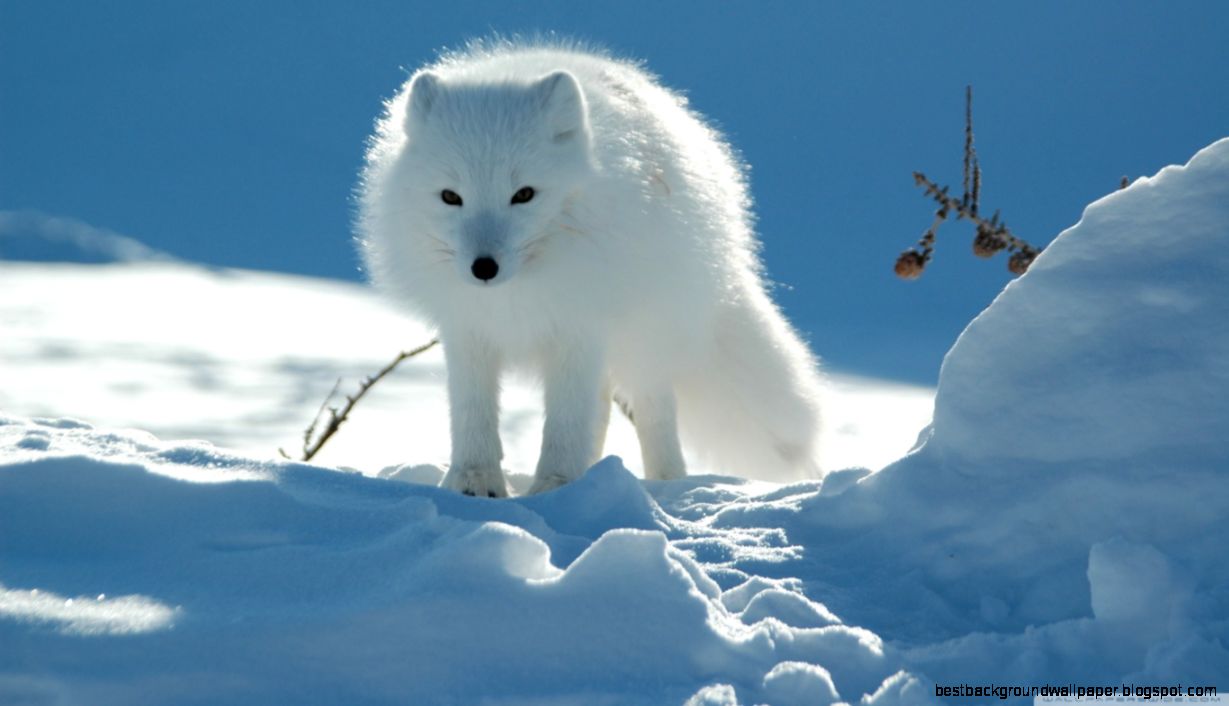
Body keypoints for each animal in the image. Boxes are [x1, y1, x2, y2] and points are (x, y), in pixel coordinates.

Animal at [358, 40, 825, 497]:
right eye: (450, 197)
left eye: (524, 194)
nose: (483, 268)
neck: (518, 292)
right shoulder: (468, 329)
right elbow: (473, 412)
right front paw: (474, 482)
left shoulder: (578, 326)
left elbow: (566, 422)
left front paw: (555, 487)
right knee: (600, 409)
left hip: (645, 335)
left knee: (652, 409)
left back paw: (666, 484)